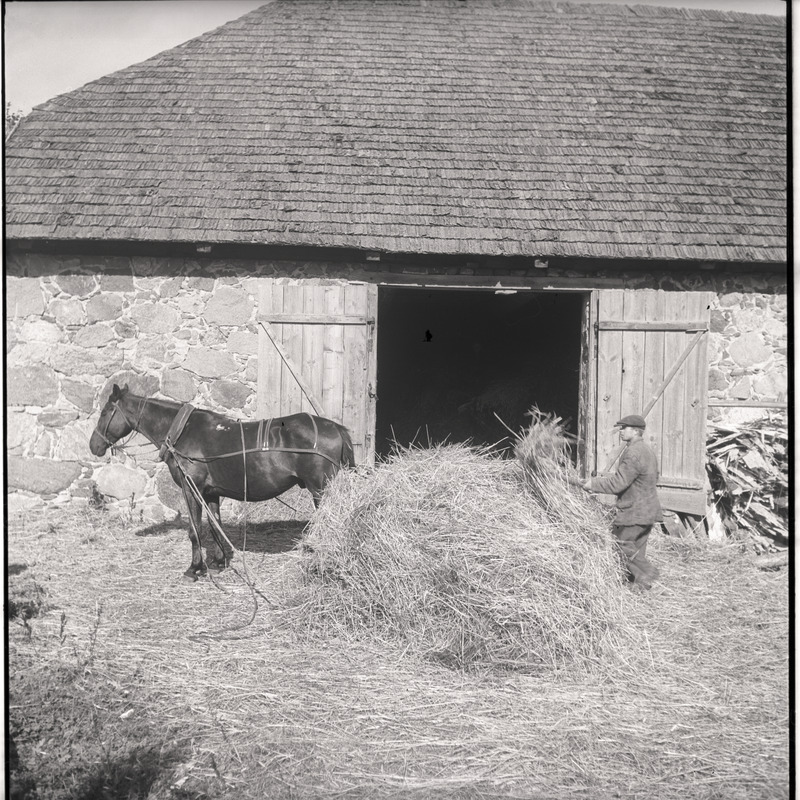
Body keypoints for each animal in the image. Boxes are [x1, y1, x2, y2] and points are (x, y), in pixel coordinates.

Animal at [88, 382, 354, 580]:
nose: (93, 446)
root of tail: (336, 428)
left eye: (105, 412)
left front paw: (194, 568)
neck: (183, 432)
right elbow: (215, 526)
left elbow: (195, 530)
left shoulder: (191, 489)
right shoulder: (211, 493)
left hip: (321, 490)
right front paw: (218, 562)